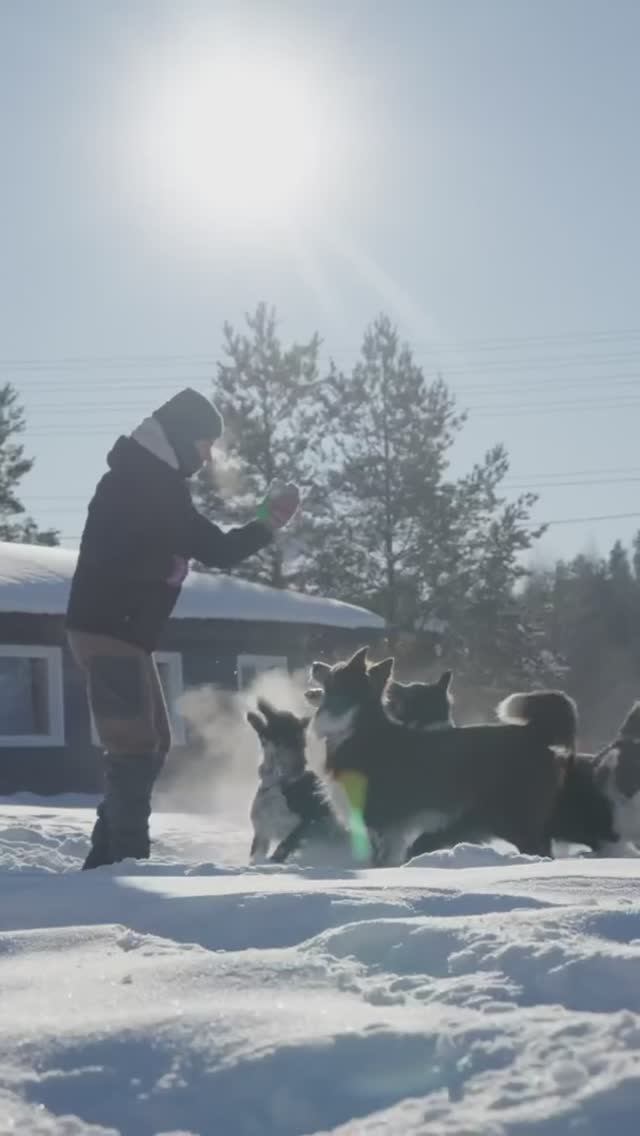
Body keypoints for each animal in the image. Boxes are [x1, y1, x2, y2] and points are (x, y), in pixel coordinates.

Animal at [247, 697, 346, 864]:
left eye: (276, 715)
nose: (261, 700)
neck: (280, 779)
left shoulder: (306, 824)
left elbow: (283, 847)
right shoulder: (262, 831)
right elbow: (257, 855)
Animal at [308, 646, 575, 866]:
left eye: (335, 669)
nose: (314, 664)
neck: (357, 722)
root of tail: (534, 732)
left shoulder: (378, 822)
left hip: (512, 817)